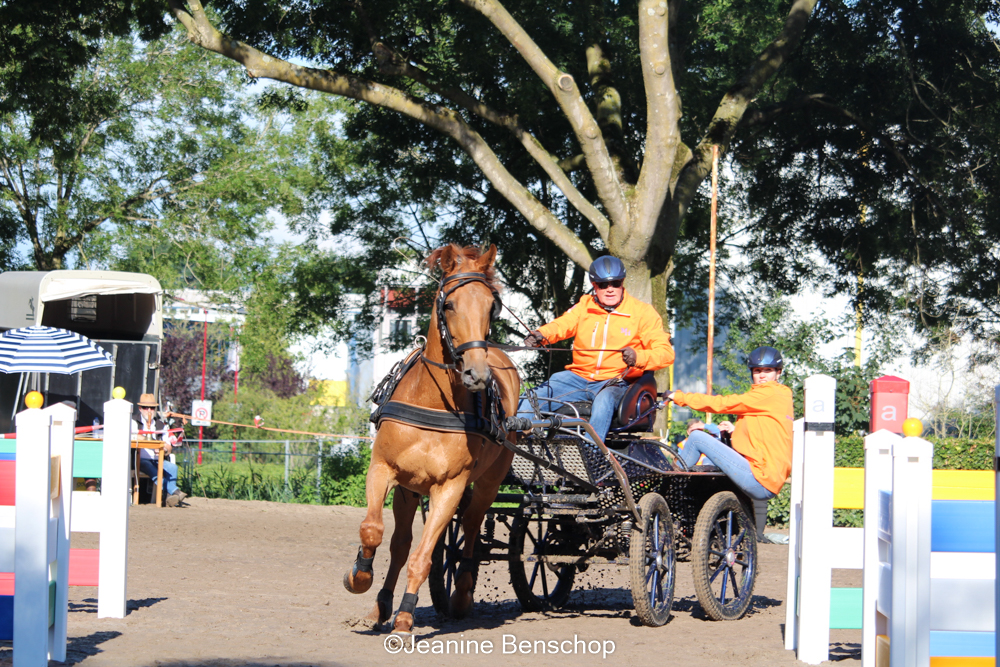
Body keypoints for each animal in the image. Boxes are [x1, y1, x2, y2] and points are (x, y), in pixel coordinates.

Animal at [342, 244, 520, 636]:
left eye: (491, 306)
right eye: (449, 304)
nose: (476, 373)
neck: (432, 402)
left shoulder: (450, 488)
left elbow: (423, 558)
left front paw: (405, 619)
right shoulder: (383, 470)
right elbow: (373, 531)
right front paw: (359, 578)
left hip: (488, 483)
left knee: (470, 529)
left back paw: (461, 594)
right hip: (410, 490)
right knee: (400, 543)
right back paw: (380, 606)